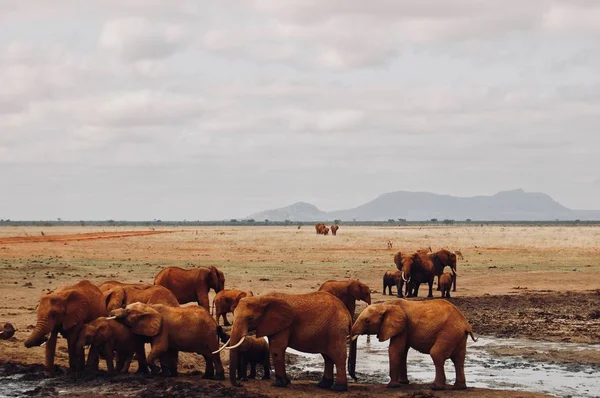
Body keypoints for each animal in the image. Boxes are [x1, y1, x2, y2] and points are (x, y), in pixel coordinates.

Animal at [216, 292, 354, 392]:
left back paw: (338, 388)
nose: (240, 384)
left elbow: (277, 349)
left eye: (250, 319)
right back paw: (323, 385)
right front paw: (286, 382)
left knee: (337, 356)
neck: (263, 298)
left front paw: (278, 384)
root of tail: (347, 313)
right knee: (327, 357)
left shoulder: (284, 325)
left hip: (336, 330)